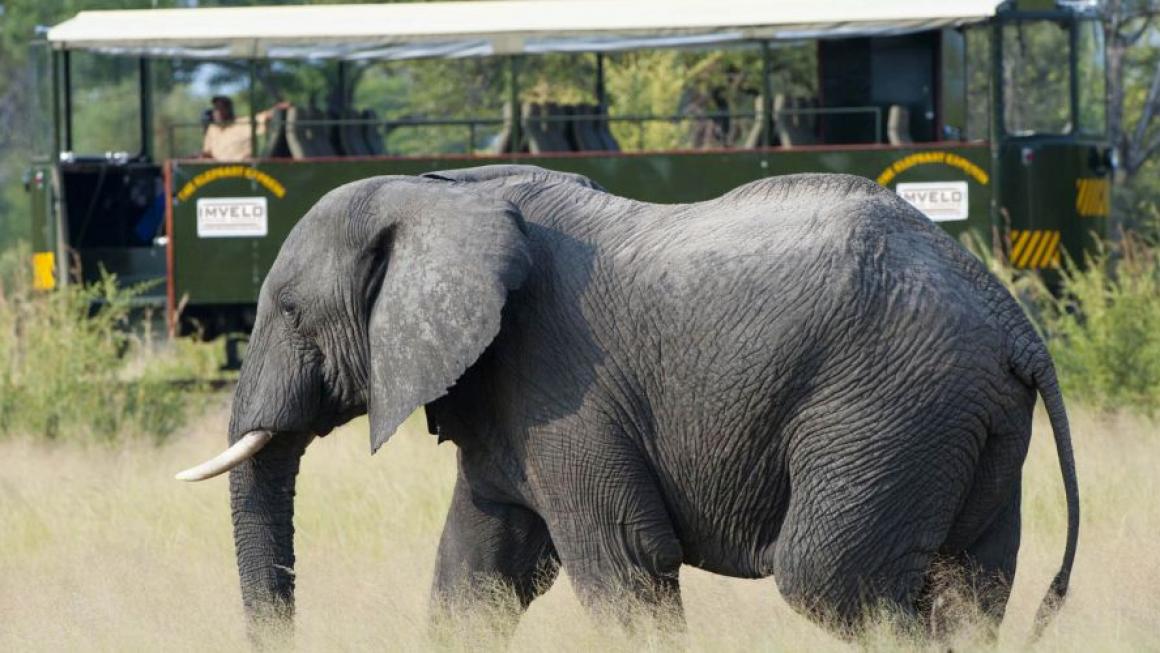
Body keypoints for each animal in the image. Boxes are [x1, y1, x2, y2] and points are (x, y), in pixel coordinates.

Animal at [177, 164, 1078, 642]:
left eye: (291, 312)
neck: (444, 191)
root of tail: (1012, 319)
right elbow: (476, 574)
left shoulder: (563, 383)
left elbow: (623, 563)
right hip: (965, 419)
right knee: (970, 586)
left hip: (885, 406)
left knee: (830, 576)